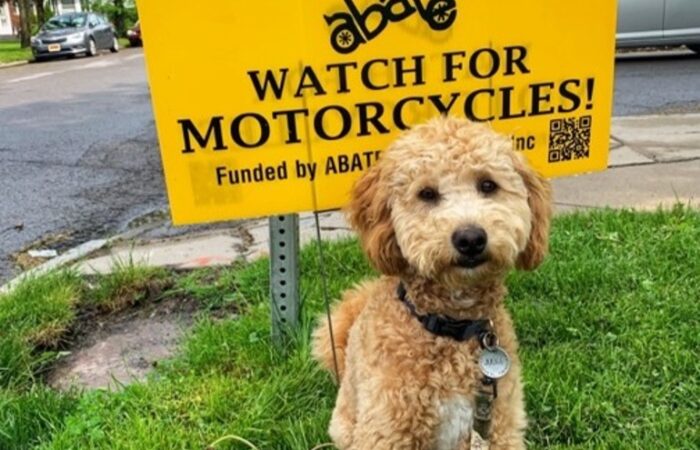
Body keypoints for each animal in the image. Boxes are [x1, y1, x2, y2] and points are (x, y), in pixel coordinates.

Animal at [314, 118, 552, 448]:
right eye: (426, 193)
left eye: (487, 185)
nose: (470, 238)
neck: (452, 328)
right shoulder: (385, 432)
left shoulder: (500, 424)